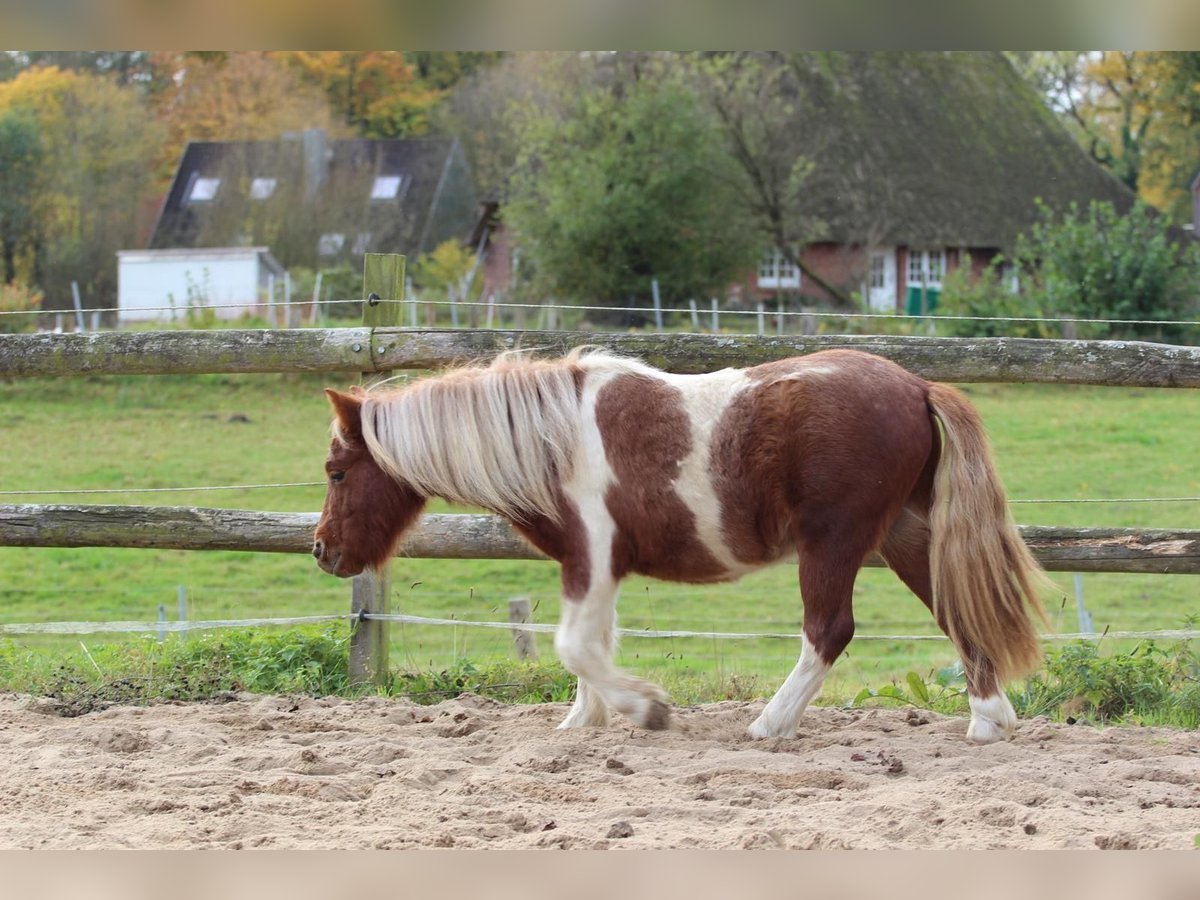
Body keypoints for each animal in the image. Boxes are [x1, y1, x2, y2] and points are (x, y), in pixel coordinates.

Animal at [312, 348, 1051, 744]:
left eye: (337, 471)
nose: (321, 551)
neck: (553, 440)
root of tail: (918, 385)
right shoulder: (596, 568)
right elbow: (590, 647)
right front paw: (584, 722)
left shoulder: (592, 558)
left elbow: (574, 646)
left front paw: (647, 709)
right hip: (905, 535)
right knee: (956, 613)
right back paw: (990, 721)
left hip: (835, 544)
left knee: (829, 631)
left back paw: (768, 725)